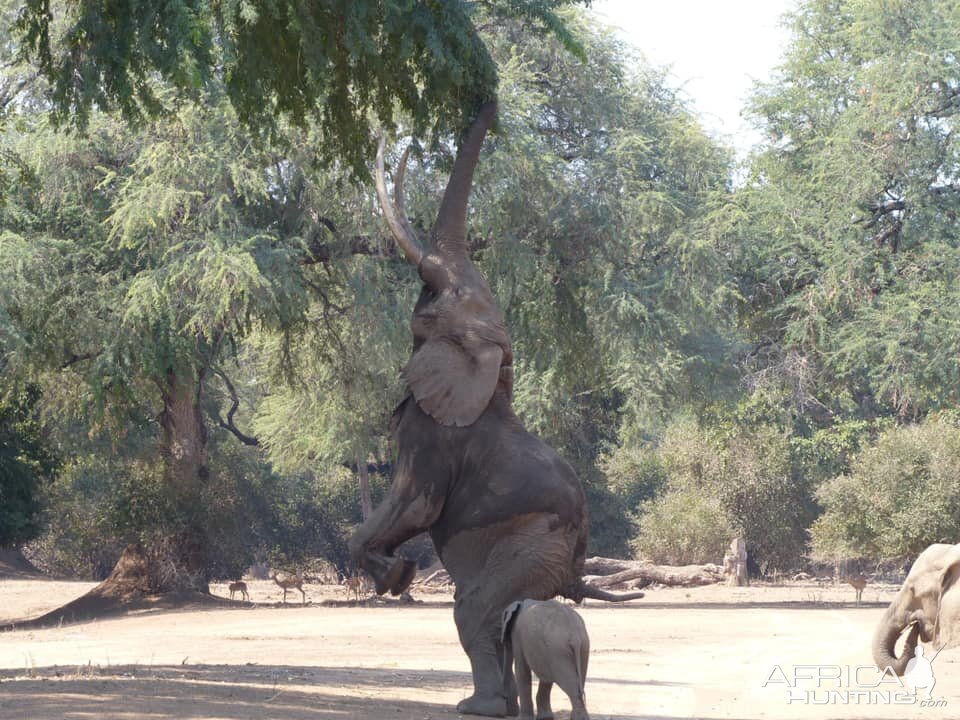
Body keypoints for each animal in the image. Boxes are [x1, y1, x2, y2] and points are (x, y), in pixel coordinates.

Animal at [346, 98, 644, 716]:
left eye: (430, 294)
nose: (490, 100)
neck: (491, 365)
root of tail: (575, 569)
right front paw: (396, 573)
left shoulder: (433, 434)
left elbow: (416, 504)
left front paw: (397, 574)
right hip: (539, 553)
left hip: (532, 546)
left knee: (474, 609)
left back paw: (478, 706)